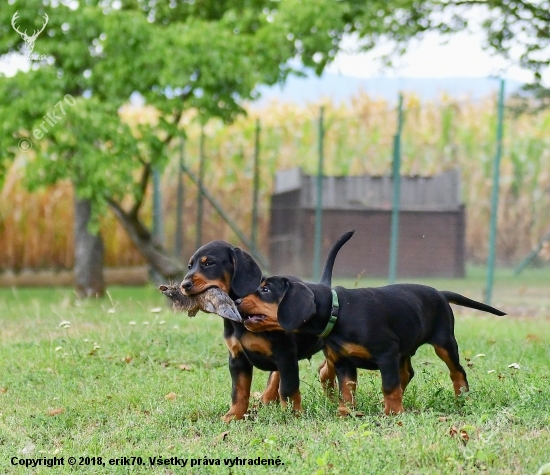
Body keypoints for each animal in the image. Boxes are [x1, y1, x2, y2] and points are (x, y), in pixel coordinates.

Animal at [181, 232, 354, 422]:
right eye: (190, 266)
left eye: (209, 263)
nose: (184, 285)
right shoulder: (237, 359)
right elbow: (239, 392)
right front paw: (233, 416)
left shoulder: (285, 356)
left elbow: (288, 389)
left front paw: (293, 416)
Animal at [237, 278, 504, 416]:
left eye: (265, 289)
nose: (237, 300)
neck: (339, 312)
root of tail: (439, 292)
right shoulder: (344, 361)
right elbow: (347, 390)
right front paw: (346, 413)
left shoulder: (386, 354)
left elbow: (389, 386)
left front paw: (393, 414)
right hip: (404, 349)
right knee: (407, 373)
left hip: (444, 342)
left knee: (457, 371)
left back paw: (462, 398)